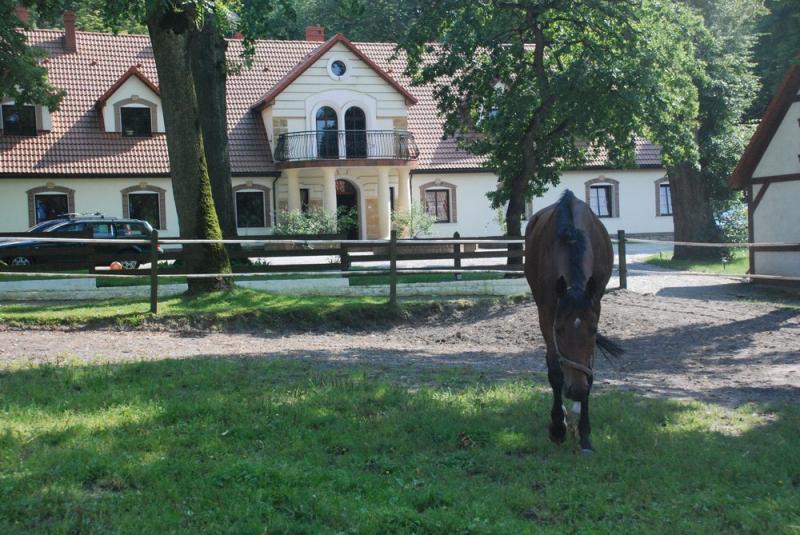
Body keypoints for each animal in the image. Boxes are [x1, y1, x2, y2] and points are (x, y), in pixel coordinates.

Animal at [524, 191, 624, 454]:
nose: (576, 390)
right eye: (559, 330)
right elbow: (555, 371)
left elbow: (590, 371)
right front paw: (558, 427)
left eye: (593, 330)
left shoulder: (596, 304)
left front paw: (585, 434)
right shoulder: (548, 312)